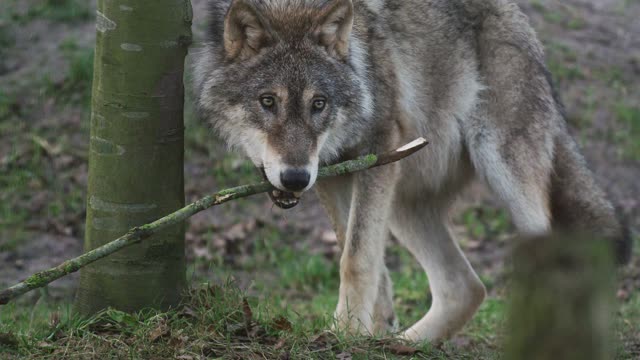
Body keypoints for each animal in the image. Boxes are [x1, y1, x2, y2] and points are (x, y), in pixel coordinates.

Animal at [190, 0, 632, 344]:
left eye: (318, 104)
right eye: (268, 101)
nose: (296, 178)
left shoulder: (376, 147)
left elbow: (356, 258)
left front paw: (344, 332)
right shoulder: (334, 171)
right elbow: (363, 258)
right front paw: (364, 334)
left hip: (502, 167)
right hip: (403, 195)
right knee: (466, 288)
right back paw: (402, 345)